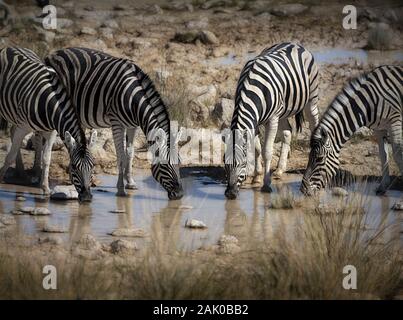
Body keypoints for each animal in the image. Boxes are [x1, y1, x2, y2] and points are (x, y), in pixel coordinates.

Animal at [0, 47, 95, 202]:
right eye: (74, 167)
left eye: (93, 166)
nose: (87, 197)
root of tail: (9, 47)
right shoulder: (23, 127)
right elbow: (10, 157)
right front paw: (0, 178)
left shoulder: (52, 131)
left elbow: (46, 158)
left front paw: (45, 188)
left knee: (13, 131)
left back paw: (22, 173)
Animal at [43, 47, 184, 199]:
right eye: (164, 165)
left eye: (179, 163)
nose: (180, 194)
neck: (133, 97)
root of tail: (55, 52)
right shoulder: (117, 123)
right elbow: (121, 156)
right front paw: (121, 189)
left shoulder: (133, 125)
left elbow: (130, 153)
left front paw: (130, 182)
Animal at [224, 41, 318, 199]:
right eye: (225, 164)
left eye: (243, 164)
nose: (230, 194)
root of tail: (294, 43)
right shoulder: (254, 121)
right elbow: (257, 149)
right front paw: (257, 176)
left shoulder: (272, 119)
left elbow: (267, 151)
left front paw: (266, 185)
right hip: (284, 110)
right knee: (287, 132)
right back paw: (280, 170)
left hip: (311, 98)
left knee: (315, 125)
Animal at [302, 65, 402, 195]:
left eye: (319, 159)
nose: (303, 190)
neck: (367, 103)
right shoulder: (379, 129)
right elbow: (383, 155)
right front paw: (383, 187)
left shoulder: (395, 121)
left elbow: (397, 154)